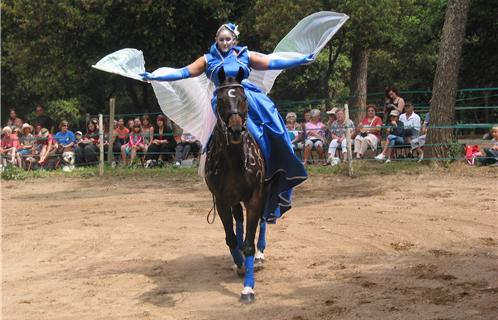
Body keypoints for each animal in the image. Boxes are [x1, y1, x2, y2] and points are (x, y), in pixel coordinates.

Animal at [204, 67, 268, 302]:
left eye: (243, 98)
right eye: (220, 99)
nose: (235, 131)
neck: (233, 160)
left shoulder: (255, 198)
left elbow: (249, 243)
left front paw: (248, 288)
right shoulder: (222, 201)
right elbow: (231, 238)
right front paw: (239, 264)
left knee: (264, 220)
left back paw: (260, 255)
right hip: (234, 200)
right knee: (238, 221)